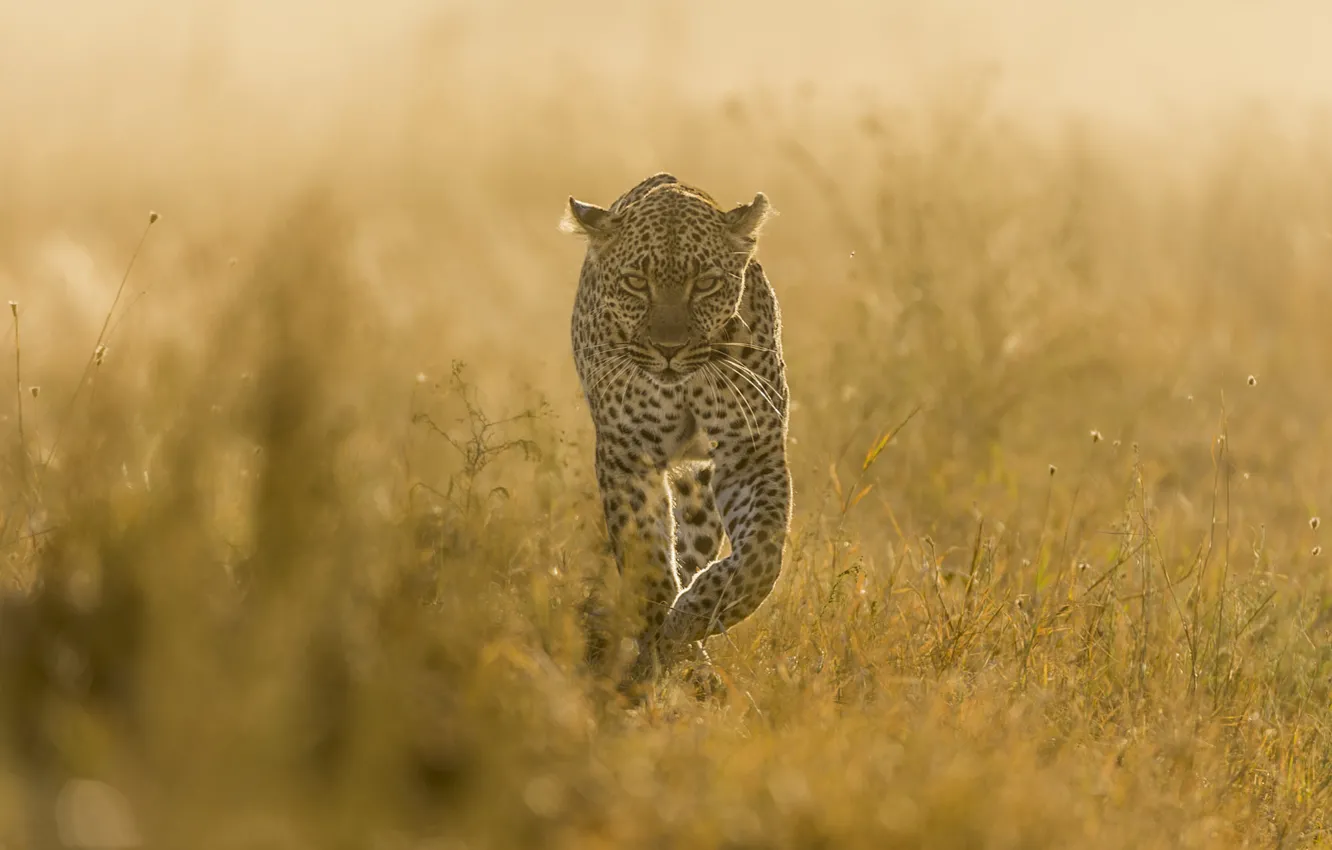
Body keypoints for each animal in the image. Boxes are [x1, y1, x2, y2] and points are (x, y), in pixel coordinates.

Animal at [561, 172, 793, 687]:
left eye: (704, 284)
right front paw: (654, 642)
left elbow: (762, 555)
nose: (669, 349)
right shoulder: (627, 453)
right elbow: (646, 556)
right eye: (635, 282)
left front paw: (690, 619)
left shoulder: (752, 451)